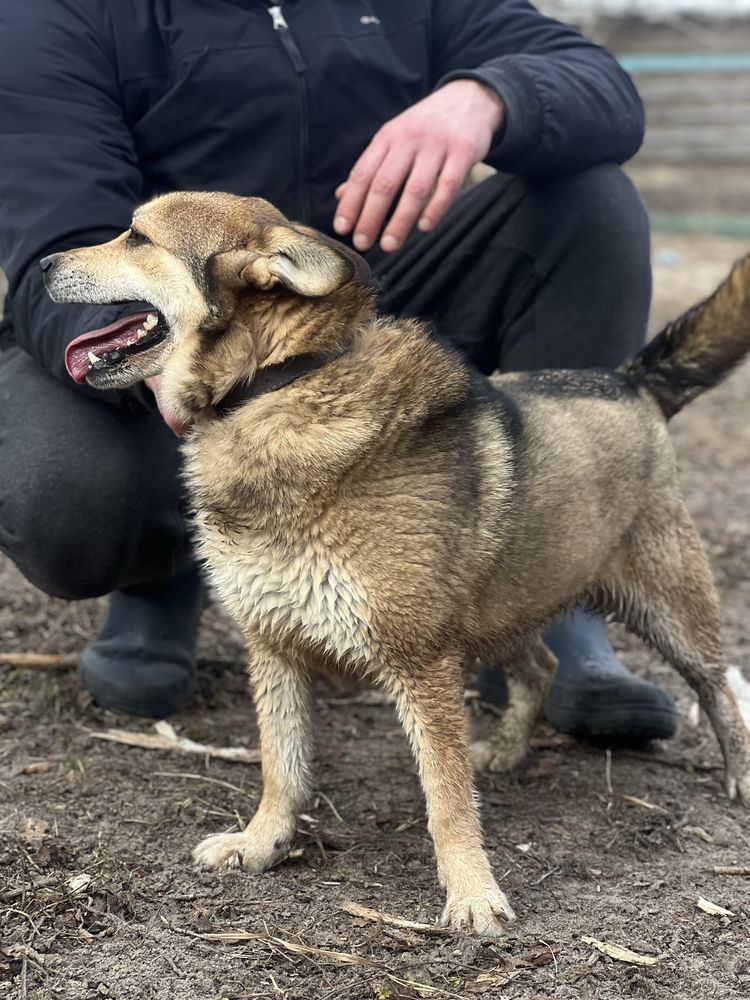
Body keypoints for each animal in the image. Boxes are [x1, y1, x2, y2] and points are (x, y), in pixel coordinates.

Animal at [41, 189, 750, 936]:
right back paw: (507, 748)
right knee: (540, 666)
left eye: (137, 237)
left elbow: (446, 795)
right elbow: (281, 768)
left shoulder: (421, 661)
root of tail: (629, 382)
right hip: (498, 603)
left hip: (666, 602)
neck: (274, 384)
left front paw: (471, 890)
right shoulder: (273, 644)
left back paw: (737, 773)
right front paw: (262, 843)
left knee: (714, 687)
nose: (42, 264)